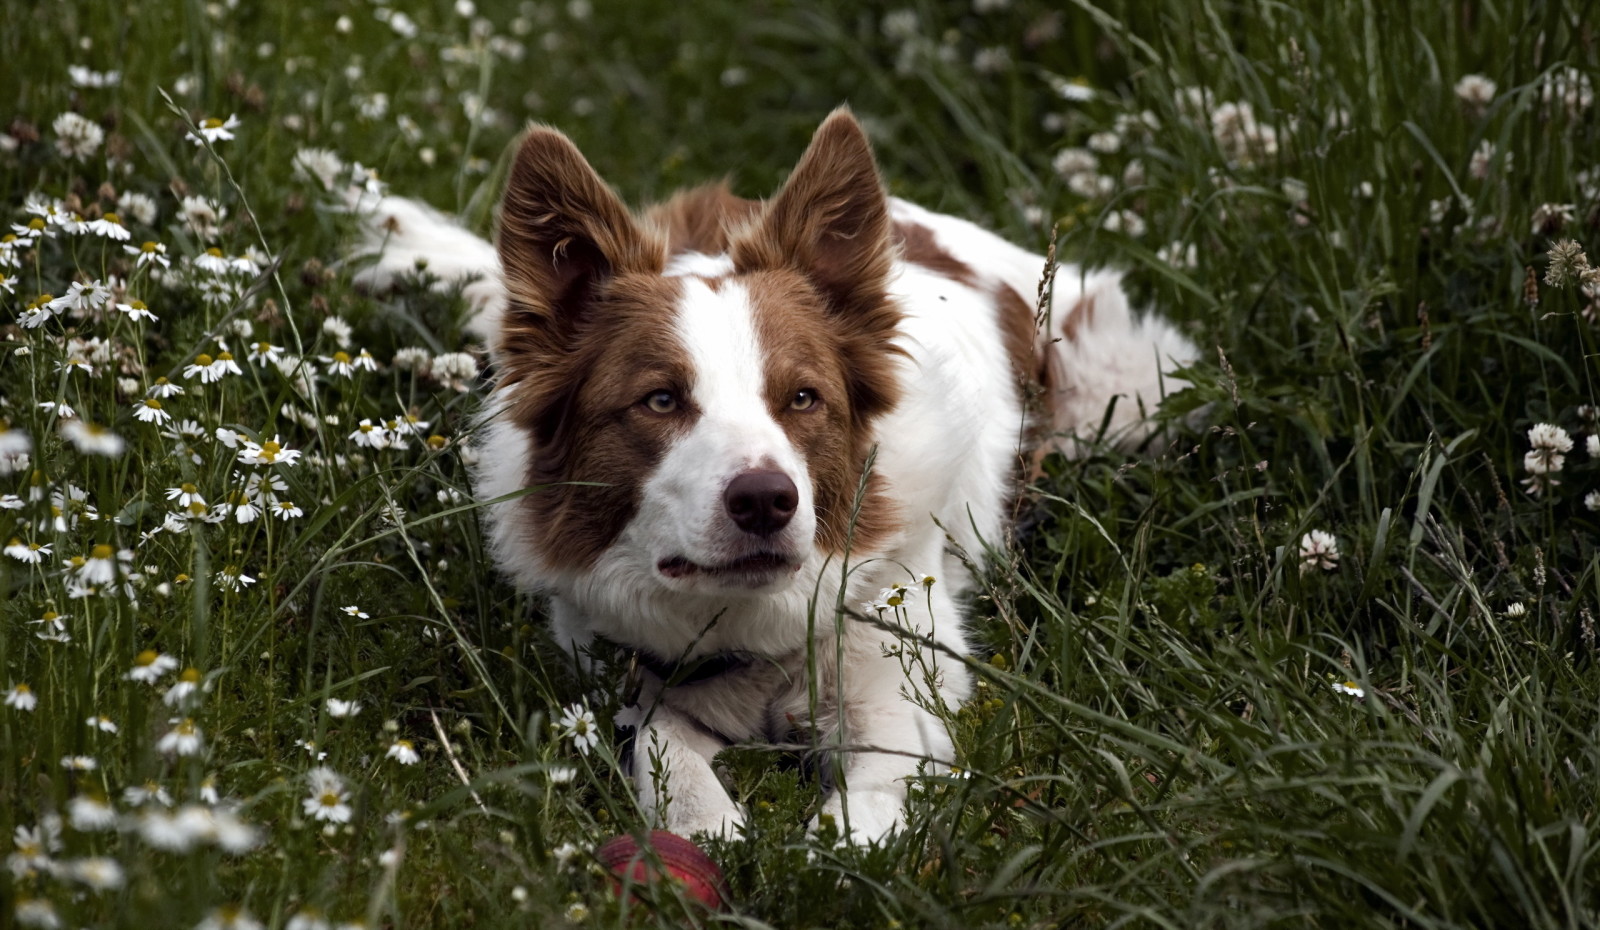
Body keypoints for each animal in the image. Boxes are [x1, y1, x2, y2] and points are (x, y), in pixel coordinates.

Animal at [356, 107, 1196, 838]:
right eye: (661, 399)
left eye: (802, 398)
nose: (765, 501)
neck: (756, 623)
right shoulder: (629, 677)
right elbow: (662, 746)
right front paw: (708, 831)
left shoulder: (901, 694)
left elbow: (864, 815)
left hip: (1130, 393)